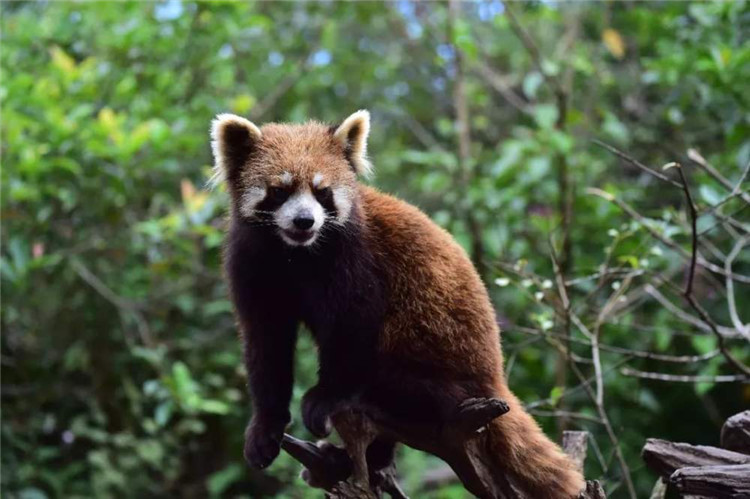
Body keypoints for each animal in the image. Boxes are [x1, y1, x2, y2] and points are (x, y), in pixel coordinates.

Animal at [212, 111, 588, 498]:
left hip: (441, 365)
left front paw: (324, 398)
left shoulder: (356, 261)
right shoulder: (253, 267)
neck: (295, 254)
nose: (305, 221)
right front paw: (264, 429)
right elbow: (266, 346)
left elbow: (352, 330)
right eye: (279, 191)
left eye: (322, 192)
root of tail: (494, 377)